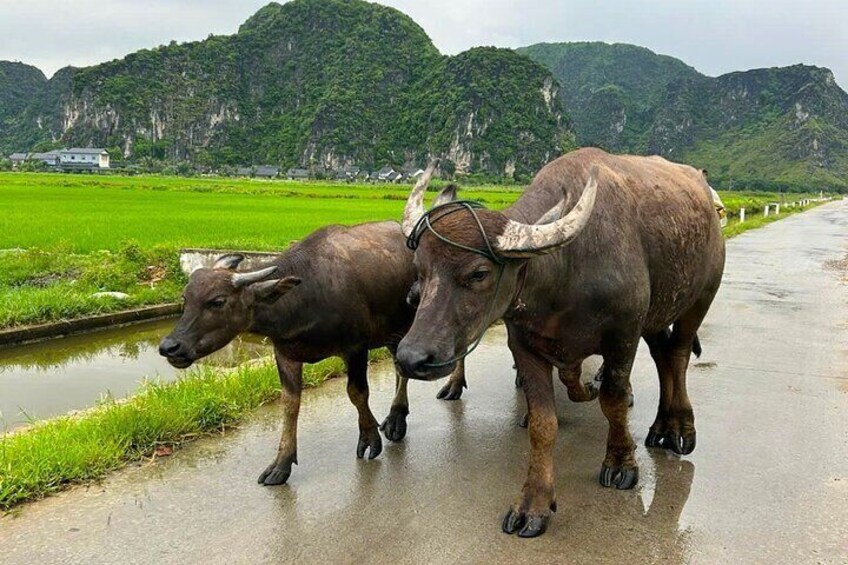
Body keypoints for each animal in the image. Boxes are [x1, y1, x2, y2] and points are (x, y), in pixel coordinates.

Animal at [158, 176, 464, 484]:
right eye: (185, 299)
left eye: (217, 301)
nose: (169, 347)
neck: (306, 295)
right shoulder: (285, 354)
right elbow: (290, 404)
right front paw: (281, 463)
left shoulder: (355, 348)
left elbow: (357, 393)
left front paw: (369, 439)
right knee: (400, 367)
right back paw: (396, 417)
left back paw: (416, 407)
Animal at [396, 148, 724, 536]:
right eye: (420, 269)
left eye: (478, 273)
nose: (411, 357)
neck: (565, 269)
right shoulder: (524, 345)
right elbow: (542, 423)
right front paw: (534, 502)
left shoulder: (624, 336)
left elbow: (613, 401)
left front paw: (621, 462)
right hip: (656, 314)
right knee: (662, 355)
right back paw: (659, 427)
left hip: (701, 296)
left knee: (679, 354)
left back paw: (679, 429)